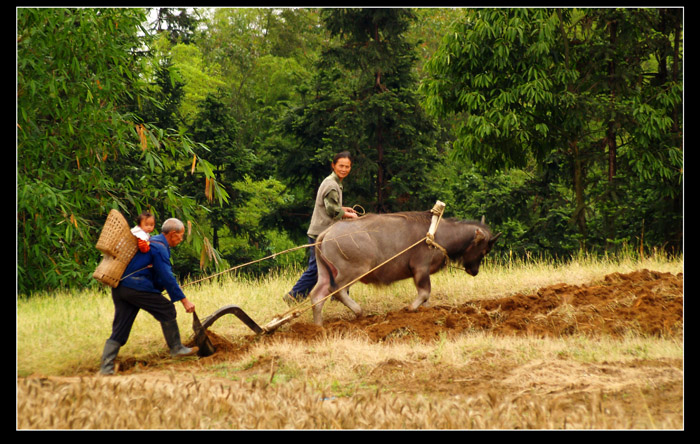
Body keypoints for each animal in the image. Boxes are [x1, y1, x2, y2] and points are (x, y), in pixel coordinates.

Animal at [308, 210, 500, 324]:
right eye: (484, 250)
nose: (474, 271)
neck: (437, 235)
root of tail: (328, 232)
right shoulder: (420, 269)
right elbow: (424, 293)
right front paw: (410, 309)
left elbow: (426, 298)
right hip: (352, 271)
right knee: (337, 290)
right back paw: (358, 311)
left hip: (325, 272)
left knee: (317, 295)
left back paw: (318, 326)